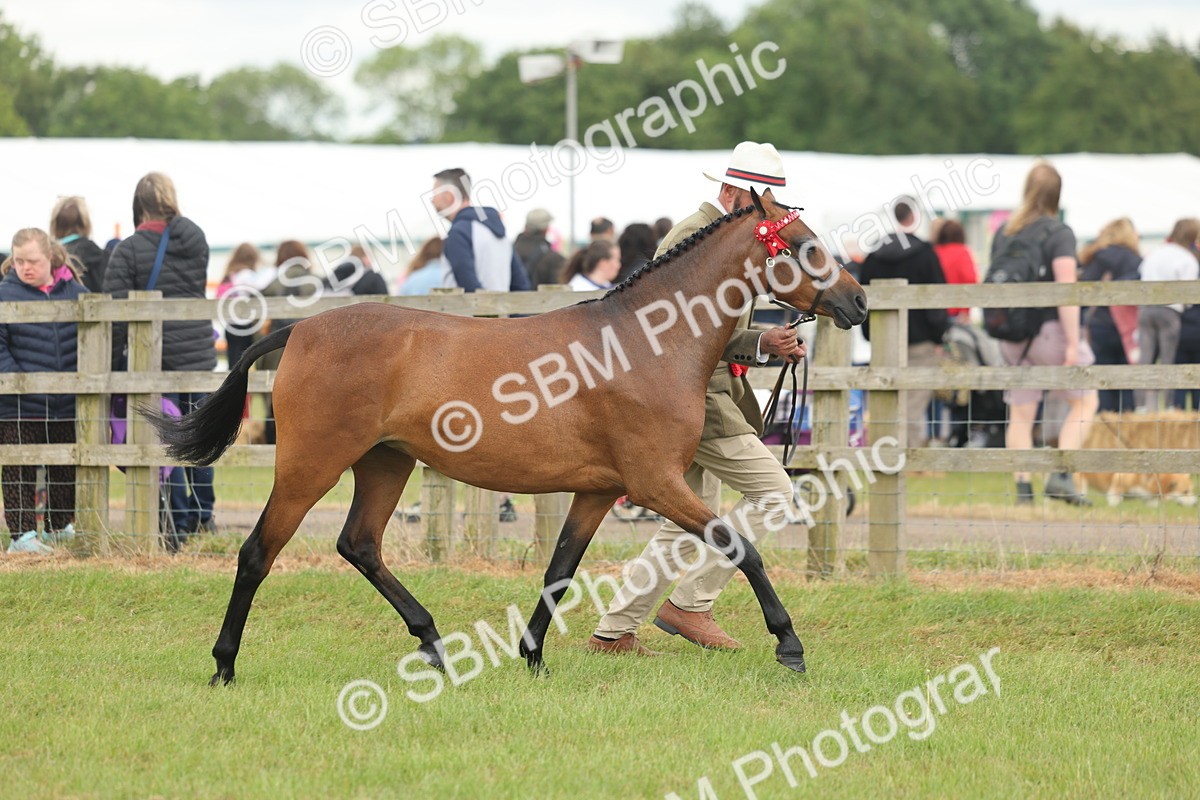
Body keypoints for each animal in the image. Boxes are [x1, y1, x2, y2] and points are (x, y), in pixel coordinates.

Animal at [146, 188, 868, 686]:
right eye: (804, 244)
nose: (859, 303)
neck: (645, 340)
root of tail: (299, 329)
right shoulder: (654, 483)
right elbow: (742, 548)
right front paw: (790, 645)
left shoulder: (598, 491)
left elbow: (558, 571)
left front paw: (533, 655)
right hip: (311, 463)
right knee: (258, 553)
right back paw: (225, 665)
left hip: (385, 464)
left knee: (360, 545)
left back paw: (434, 644)